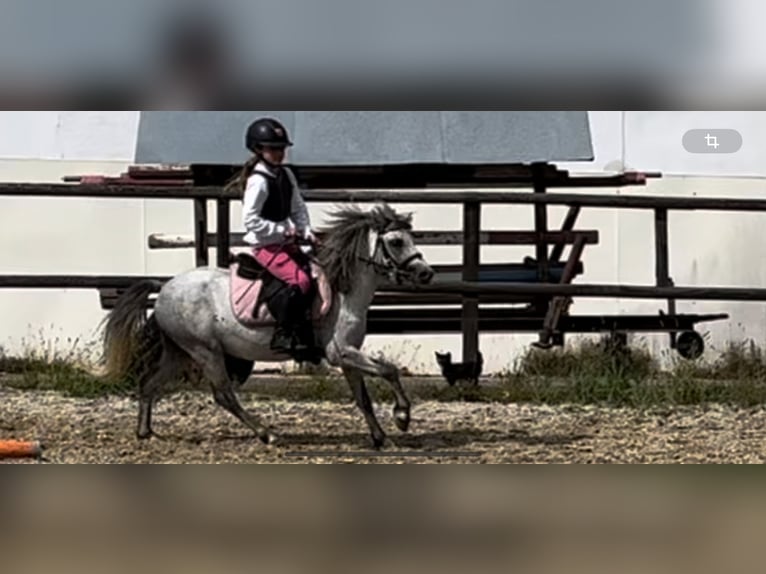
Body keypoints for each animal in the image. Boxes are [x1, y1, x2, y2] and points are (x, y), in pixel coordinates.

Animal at [102, 205, 436, 452]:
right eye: (396, 241)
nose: (426, 273)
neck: (343, 292)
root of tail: (165, 288)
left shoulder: (349, 356)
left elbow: (363, 397)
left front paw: (381, 437)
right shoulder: (341, 353)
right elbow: (390, 370)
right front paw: (402, 417)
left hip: (179, 352)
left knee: (149, 384)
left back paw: (145, 432)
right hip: (205, 351)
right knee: (223, 395)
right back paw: (267, 434)